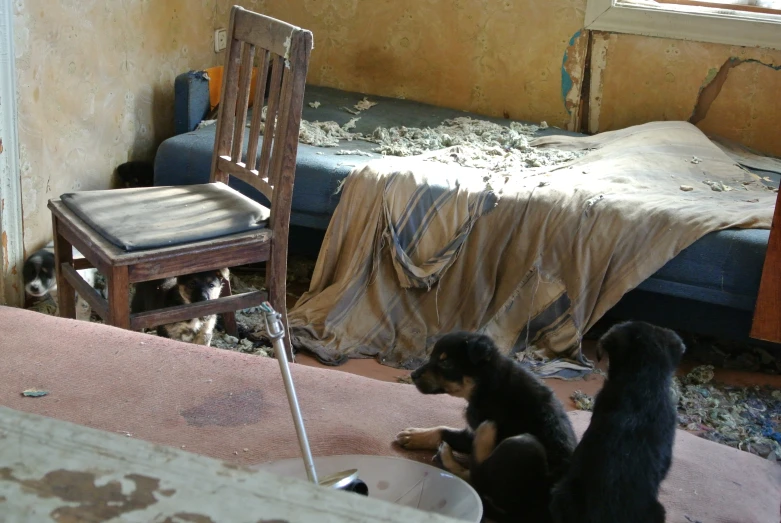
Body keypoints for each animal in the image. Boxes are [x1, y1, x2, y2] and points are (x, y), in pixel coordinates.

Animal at [396, 332, 572, 520]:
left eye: (446, 362)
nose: (413, 375)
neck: (489, 384)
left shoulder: (477, 426)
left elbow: (449, 433)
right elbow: (443, 430)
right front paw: (413, 435)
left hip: (523, 444)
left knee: (478, 479)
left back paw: (467, 444)